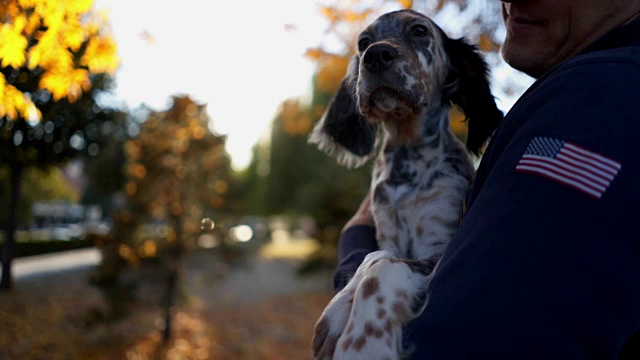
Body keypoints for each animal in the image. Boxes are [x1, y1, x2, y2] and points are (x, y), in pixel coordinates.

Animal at [308, 9, 502, 360]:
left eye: (419, 30)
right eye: (363, 42)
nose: (376, 56)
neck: (406, 162)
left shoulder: (439, 245)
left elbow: (383, 269)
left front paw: (364, 342)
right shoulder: (387, 232)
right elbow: (377, 255)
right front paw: (338, 310)